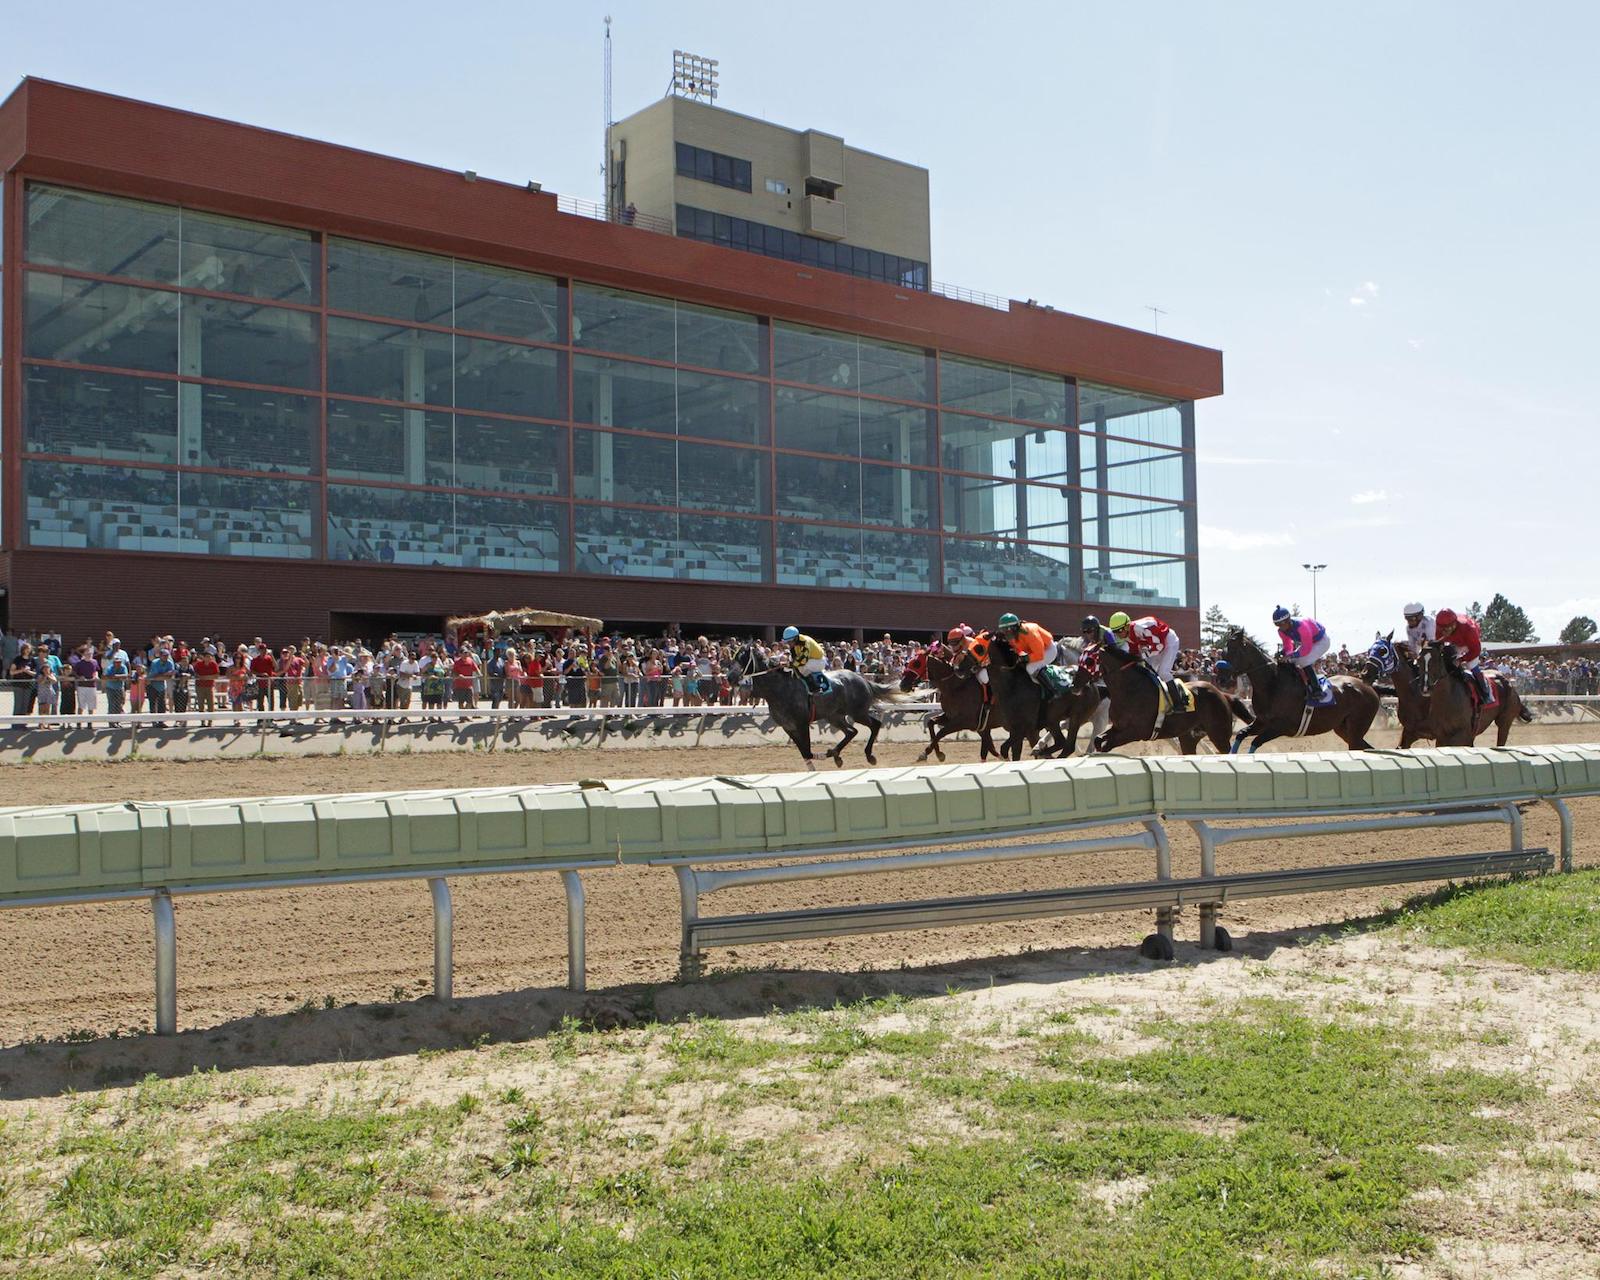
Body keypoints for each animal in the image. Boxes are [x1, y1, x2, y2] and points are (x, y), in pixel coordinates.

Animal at [736, 646, 915, 764]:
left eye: (742, 659)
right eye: (733, 658)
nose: (732, 677)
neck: (779, 689)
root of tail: (863, 680)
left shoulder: (801, 723)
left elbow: (808, 752)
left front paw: (821, 756)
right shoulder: (788, 726)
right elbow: (804, 753)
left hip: (857, 712)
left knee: (875, 724)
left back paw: (868, 755)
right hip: (834, 716)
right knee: (852, 731)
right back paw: (835, 754)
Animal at [1088, 636, 1248, 748]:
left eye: (1088, 659)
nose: (1079, 682)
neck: (1130, 689)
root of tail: (1222, 694)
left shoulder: (1136, 731)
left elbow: (1106, 745)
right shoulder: (1117, 727)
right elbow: (1098, 740)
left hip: (1219, 735)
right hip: (1189, 738)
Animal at [1216, 627, 1382, 748]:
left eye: (1233, 651)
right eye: (1223, 651)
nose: (1221, 679)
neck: (1272, 684)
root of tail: (1369, 687)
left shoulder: (1282, 727)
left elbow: (1255, 742)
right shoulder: (1261, 722)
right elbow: (1240, 734)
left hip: (1355, 729)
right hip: (1343, 729)